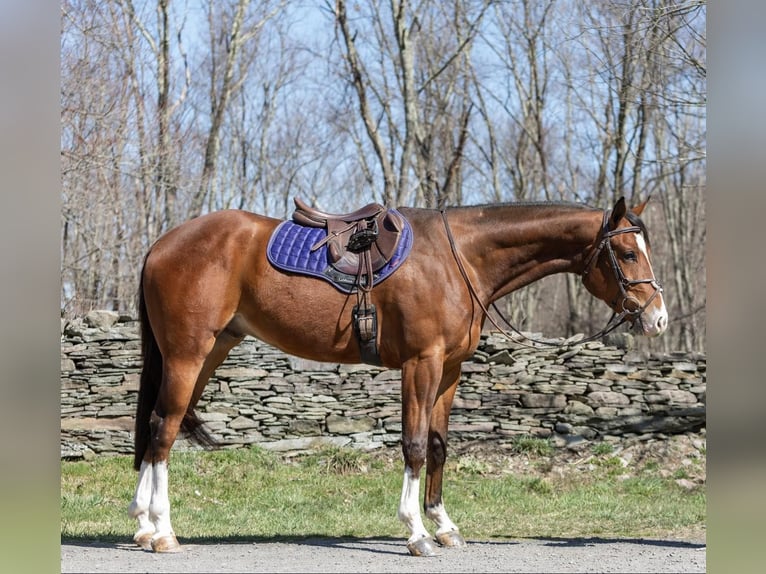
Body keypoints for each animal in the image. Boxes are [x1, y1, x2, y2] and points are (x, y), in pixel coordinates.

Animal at [127, 197, 664, 560]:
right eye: (627, 253)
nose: (657, 318)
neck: (458, 258)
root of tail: (162, 244)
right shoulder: (420, 363)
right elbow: (415, 444)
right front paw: (416, 533)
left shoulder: (449, 369)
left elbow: (440, 446)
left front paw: (444, 526)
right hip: (187, 355)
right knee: (164, 430)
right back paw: (163, 532)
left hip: (208, 352)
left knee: (157, 426)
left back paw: (143, 524)